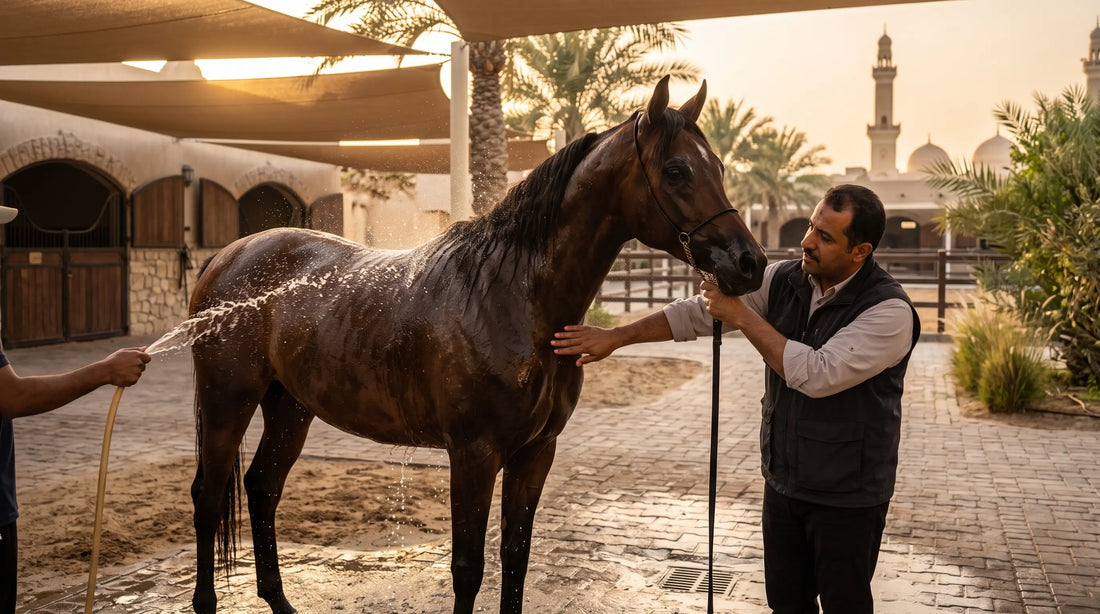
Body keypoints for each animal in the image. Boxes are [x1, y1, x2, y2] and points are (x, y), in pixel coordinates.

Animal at [187, 76, 767, 614]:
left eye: (717, 165)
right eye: (676, 170)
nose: (750, 263)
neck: (511, 298)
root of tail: (226, 257)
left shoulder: (535, 452)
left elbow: (516, 556)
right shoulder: (473, 454)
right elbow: (468, 568)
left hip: (290, 407)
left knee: (262, 487)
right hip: (227, 403)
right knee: (208, 496)